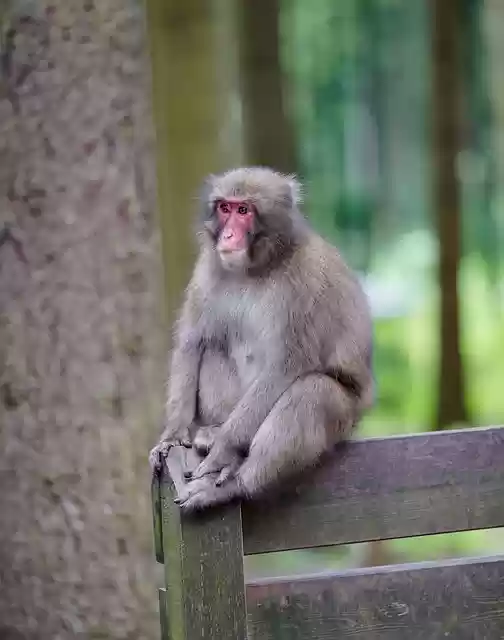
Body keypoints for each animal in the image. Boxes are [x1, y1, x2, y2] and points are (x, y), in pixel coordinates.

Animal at [149, 166, 374, 512]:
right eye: (224, 208)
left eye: (244, 210)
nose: (228, 236)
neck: (256, 267)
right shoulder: (207, 267)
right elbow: (193, 341)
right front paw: (173, 436)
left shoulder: (304, 282)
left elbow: (287, 365)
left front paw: (224, 452)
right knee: (213, 348)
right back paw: (212, 433)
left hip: (345, 419)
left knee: (313, 391)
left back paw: (236, 483)